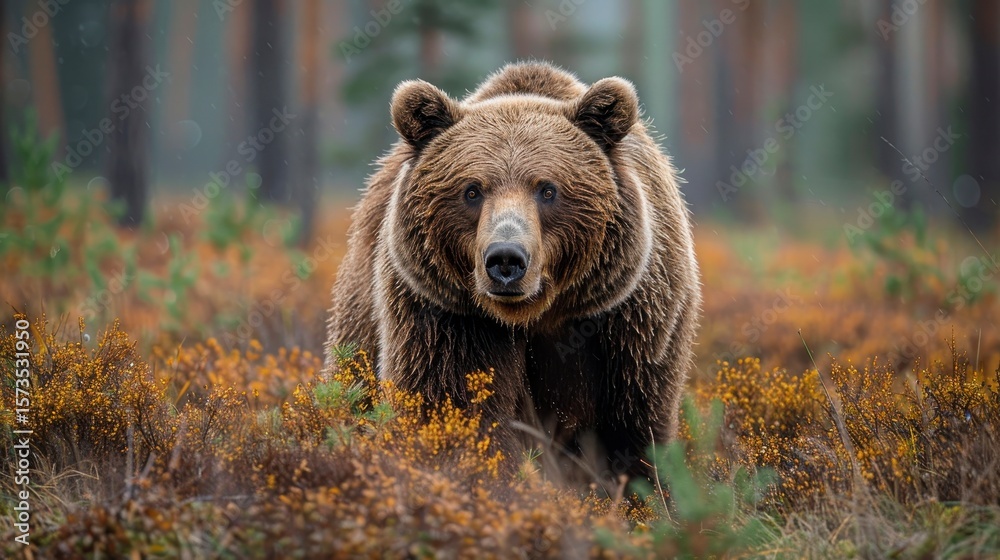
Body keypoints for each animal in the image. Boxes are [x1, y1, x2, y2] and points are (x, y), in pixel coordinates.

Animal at [325, 62, 701, 485]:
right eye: (472, 190)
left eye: (548, 189)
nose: (506, 259)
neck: (535, 314)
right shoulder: (448, 318)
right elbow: (456, 408)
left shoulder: (625, 323)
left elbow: (629, 425)